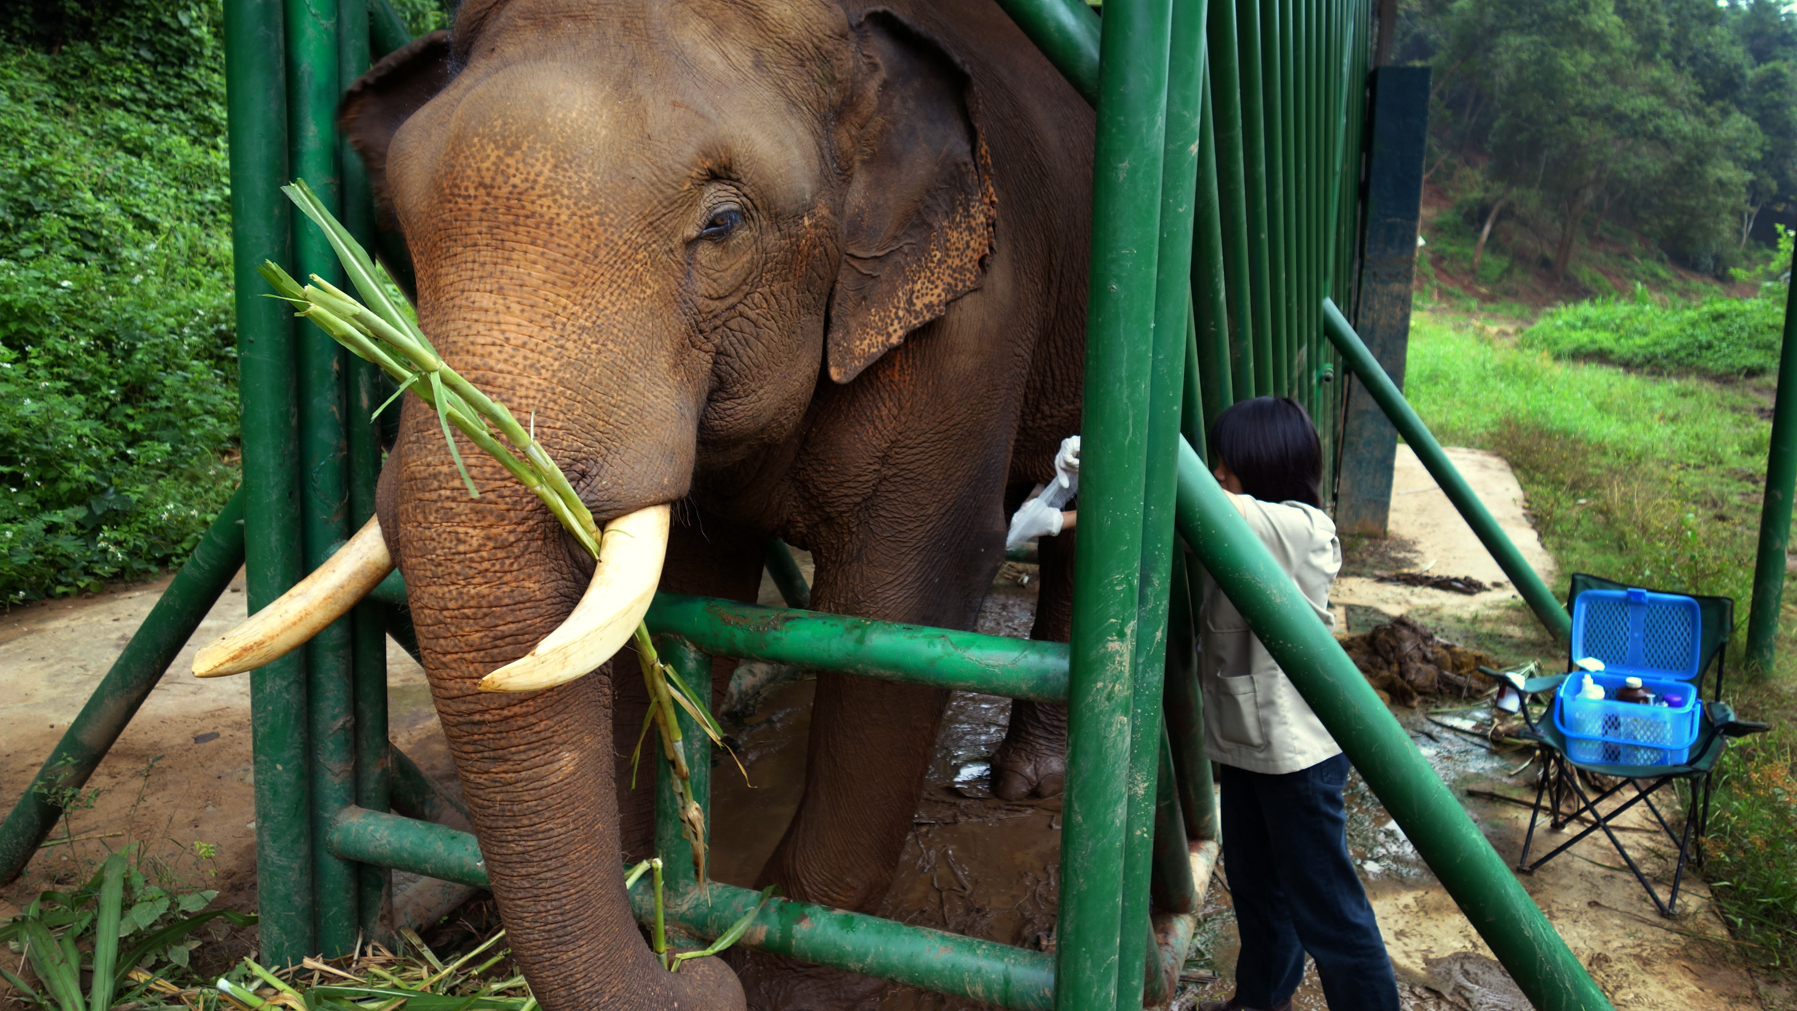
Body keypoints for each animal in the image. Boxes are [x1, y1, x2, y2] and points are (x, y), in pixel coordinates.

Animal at [215, 0, 1092, 1005]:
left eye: (723, 223)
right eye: (400, 221)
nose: (693, 976)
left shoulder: (965, 336)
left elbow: (900, 607)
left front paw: (775, 981)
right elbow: (677, 607)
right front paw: (663, 891)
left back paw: (1024, 786)